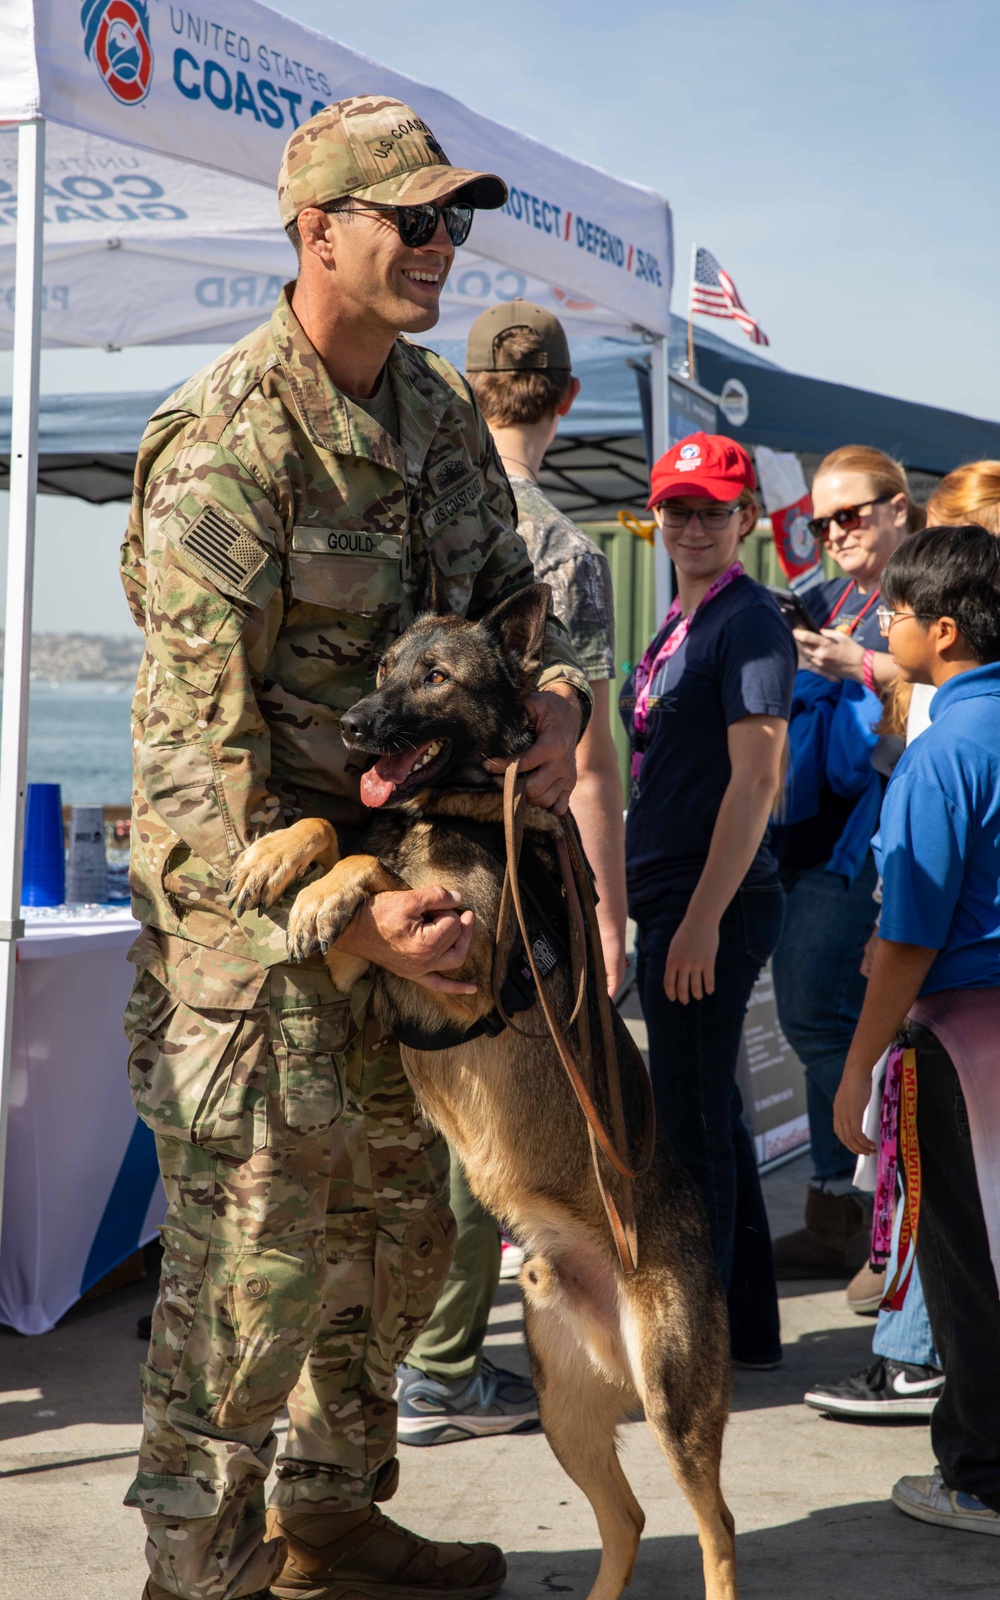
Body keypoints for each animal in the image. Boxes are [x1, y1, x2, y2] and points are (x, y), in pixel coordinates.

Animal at [228, 576, 742, 1600]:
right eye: (385, 666)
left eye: (435, 677)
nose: (354, 726)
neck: (455, 807)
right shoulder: (374, 972)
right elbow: (341, 834)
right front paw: (285, 854)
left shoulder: (459, 972)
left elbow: (370, 864)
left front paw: (328, 888)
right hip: (566, 1409)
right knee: (626, 1517)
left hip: (673, 1404)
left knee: (718, 1530)